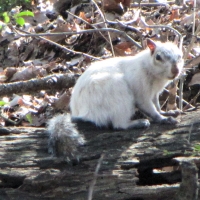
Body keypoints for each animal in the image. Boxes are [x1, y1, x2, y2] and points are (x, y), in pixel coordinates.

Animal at [47, 38, 183, 159]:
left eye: (180, 55)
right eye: (158, 57)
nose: (175, 70)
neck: (150, 70)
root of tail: (83, 115)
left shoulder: (154, 93)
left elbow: (157, 105)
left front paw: (166, 112)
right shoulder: (141, 92)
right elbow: (149, 108)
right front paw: (163, 119)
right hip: (119, 93)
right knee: (119, 125)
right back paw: (137, 123)